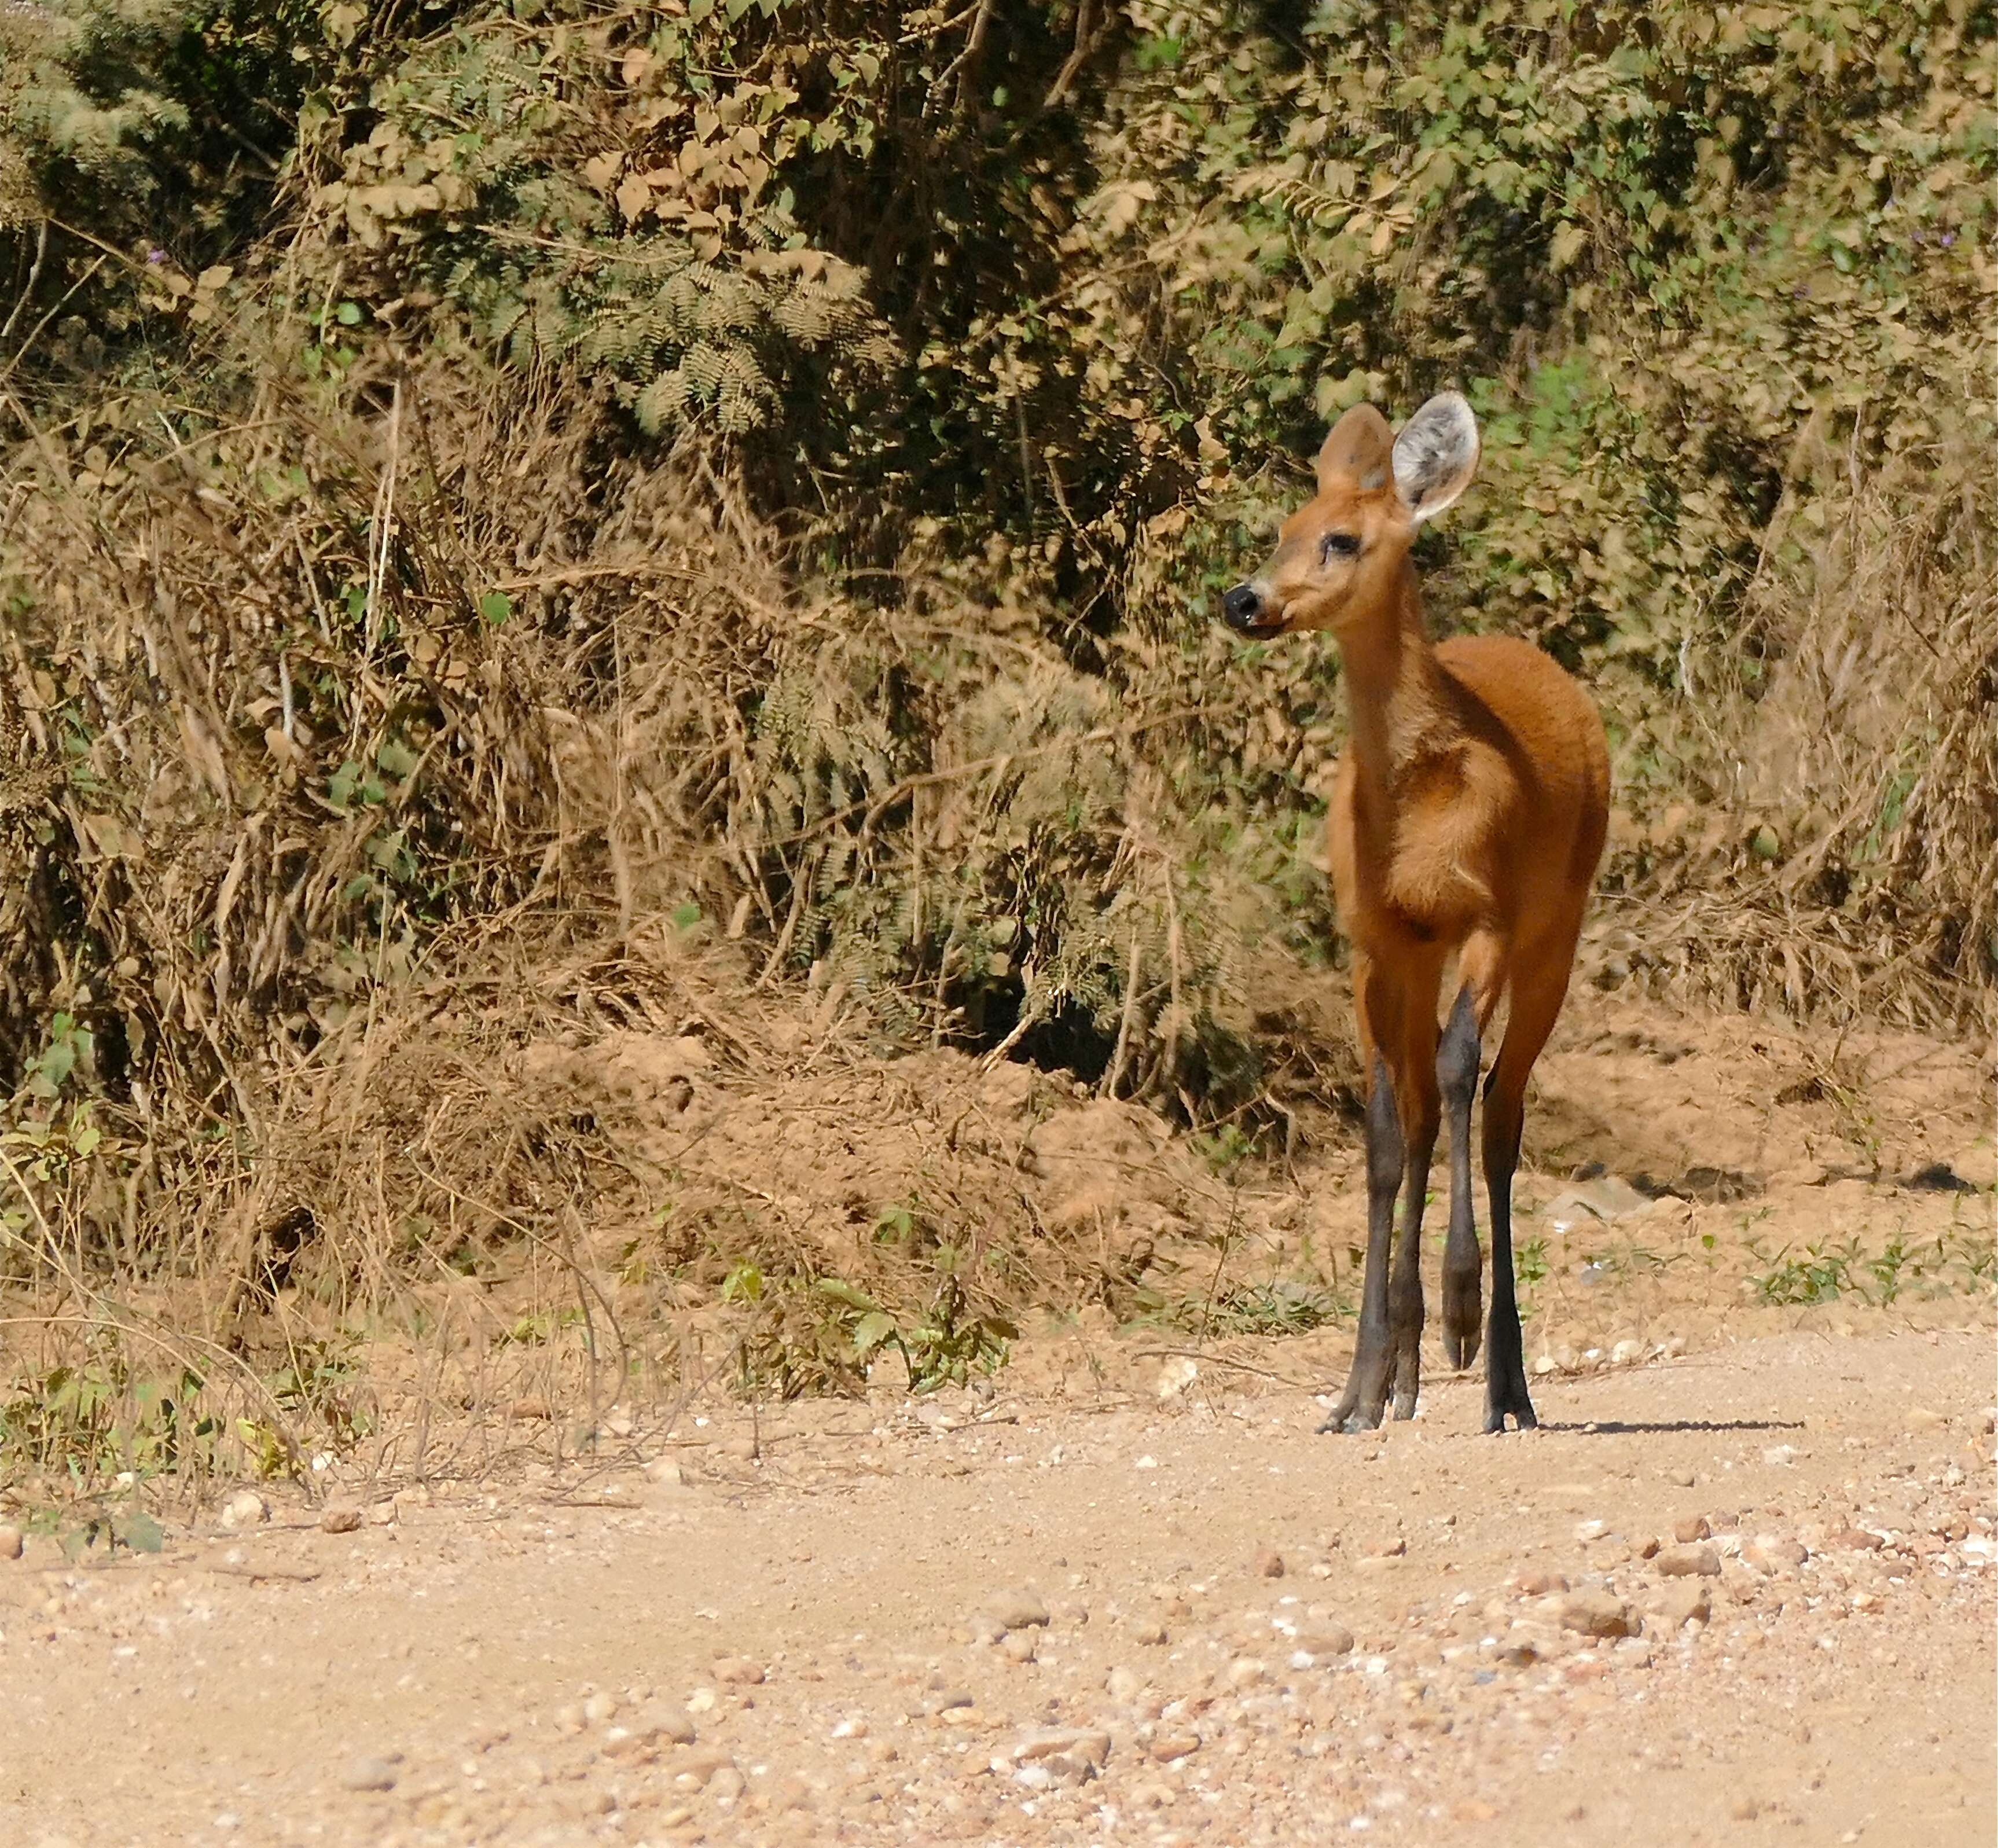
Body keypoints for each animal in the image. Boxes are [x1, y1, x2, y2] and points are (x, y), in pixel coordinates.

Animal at [1214, 394, 1606, 1430]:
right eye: (1285, 528)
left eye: (1342, 539)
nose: (1244, 600)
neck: (1416, 804)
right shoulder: (1378, 940)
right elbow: (1391, 1131)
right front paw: (1362, 1383)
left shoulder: (1488, 916)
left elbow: (1464, 1073)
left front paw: (1461, 1312)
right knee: (1431, 1109)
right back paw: (1405, 1375)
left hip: (1559, 932)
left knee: (1502, 1114)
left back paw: (1505, 1381)